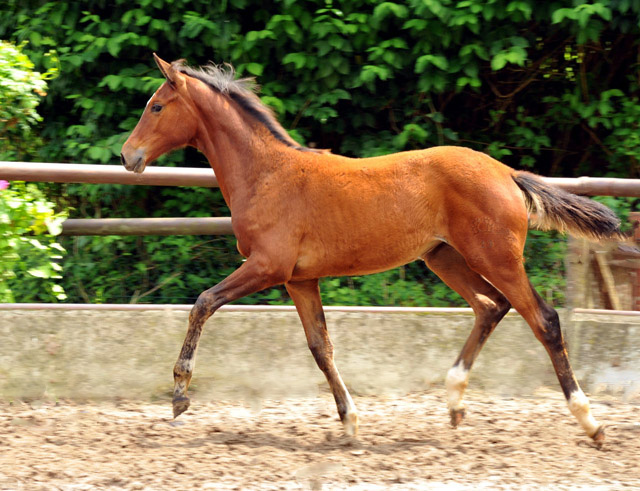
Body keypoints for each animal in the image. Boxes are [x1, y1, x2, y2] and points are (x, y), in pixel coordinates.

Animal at [121, 55, 624, 444]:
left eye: (157, 106)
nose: (129, 156)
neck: (266, 175)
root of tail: (507, 174)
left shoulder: (267, 266)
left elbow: (203, 302)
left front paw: (180, 394)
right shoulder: (300, 278)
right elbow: (320, 347)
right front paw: (350, 423)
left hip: (495, 258)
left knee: (544, 320)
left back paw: (591, 423)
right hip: (444, 256)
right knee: (490, 306)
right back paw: (454, 402)